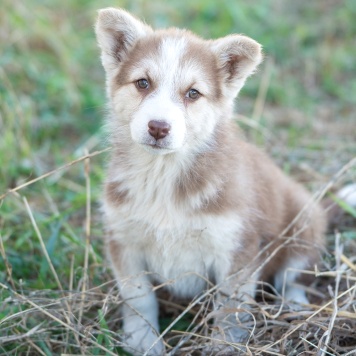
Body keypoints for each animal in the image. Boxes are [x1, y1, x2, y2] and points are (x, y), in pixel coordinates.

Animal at [94, 7, 326, 354]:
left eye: (193, 93)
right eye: (143, 83)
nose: (158, 127)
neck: (163, 175)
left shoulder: (237, 248)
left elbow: (230, 309)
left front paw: (224, 345)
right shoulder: (124, 240)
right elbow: (139, 298)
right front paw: (143, 340)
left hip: (304, 225)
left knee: (294, 279)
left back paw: (294, 308)